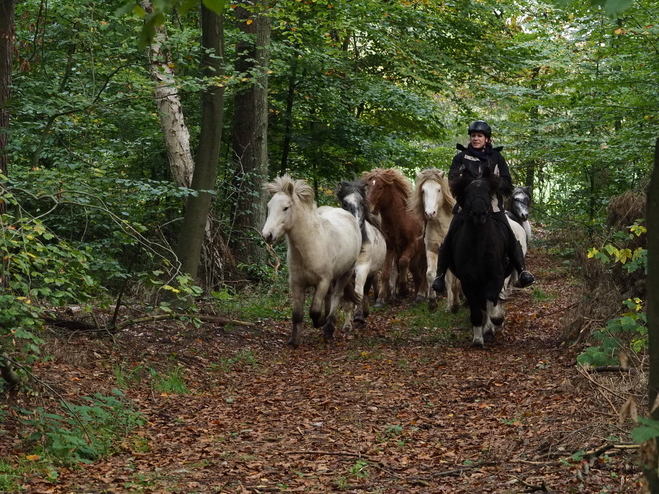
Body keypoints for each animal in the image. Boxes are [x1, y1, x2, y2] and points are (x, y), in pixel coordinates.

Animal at [260, 174, 360, 348]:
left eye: (286, 208)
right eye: (269, 206)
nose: (267, 235)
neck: (310, 246)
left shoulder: (322, 281)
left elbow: (314, 311)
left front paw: (319, 323)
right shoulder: (296, 284)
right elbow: (297, 314)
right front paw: (293, 341)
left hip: (346, 273)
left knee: (336, 295)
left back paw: (329, 327)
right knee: (329, 297)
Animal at [338, 179, 390, 330]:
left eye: (361, 202)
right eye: (344, 203)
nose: (355, 225)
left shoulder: (362, 268)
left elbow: (359, 292)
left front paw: (359, 316)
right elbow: (346, 299)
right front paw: (347, 325)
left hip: (371, 271)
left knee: (366, 289)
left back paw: (364, 312)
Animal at [360, 169, 428, 304]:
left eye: (380, 187)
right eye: (367, 186)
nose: (367, 208)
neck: (401, 219)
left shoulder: (412, 244)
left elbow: (403, 262)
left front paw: (403, 289)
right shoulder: (391, 247)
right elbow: (386, 272)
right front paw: (381, 299)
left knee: (423, 271)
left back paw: (421, 294)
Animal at [410, 169, 462, 312]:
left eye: (439, 190)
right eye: (423, 191)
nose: (430, 213)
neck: (441, 225)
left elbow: (455, 280)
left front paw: (456, 304)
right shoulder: (432, 249)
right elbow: (430, 274)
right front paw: (432, 303)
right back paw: (449, 306)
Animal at [448, 168, 516, 346]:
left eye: (487, 190)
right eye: (467, 191)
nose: (479, 214)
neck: (478, 242)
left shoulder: (495, 276)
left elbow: (491, 300)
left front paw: (497, 321)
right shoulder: (468, 281)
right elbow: (477, 310)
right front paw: (478, 339)